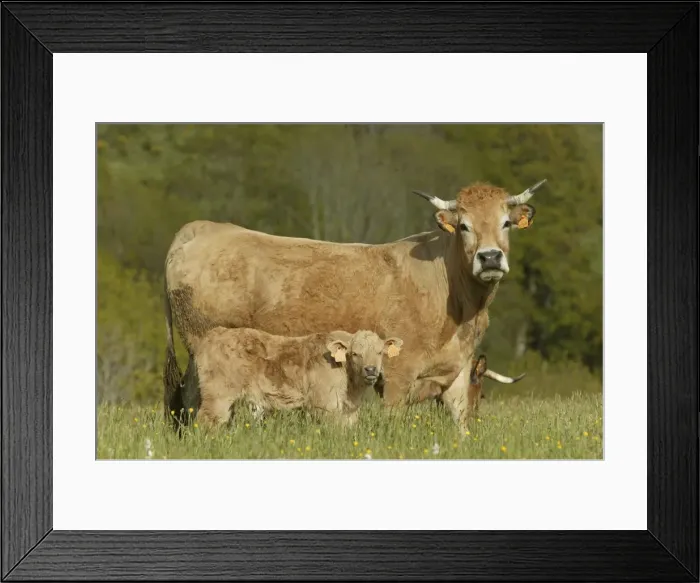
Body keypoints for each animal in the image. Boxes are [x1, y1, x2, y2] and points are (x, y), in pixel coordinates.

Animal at [191, 327, 403, 428]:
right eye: (355, 354)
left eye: (380, 352)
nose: (370, 369)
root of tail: (215, 333)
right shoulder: (325, 405)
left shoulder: (348, 411)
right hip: (217, 395)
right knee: (207, 420)